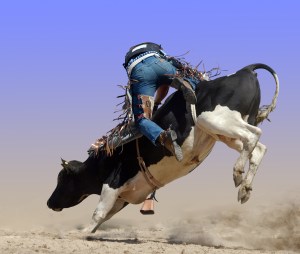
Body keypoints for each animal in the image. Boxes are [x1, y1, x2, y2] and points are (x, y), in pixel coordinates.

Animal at [47, 63, 278, 232]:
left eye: (62, 178)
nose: (49, 202)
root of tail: (245, 69)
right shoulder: (124, 196)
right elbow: (105, 215)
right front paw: (88, 232)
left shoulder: (113, 182)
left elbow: (99, 213)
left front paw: (81, 233)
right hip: (225, 130)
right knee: (258, 148)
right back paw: (244, 189)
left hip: (214, 119)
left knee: (253, 135)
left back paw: (238, 173)